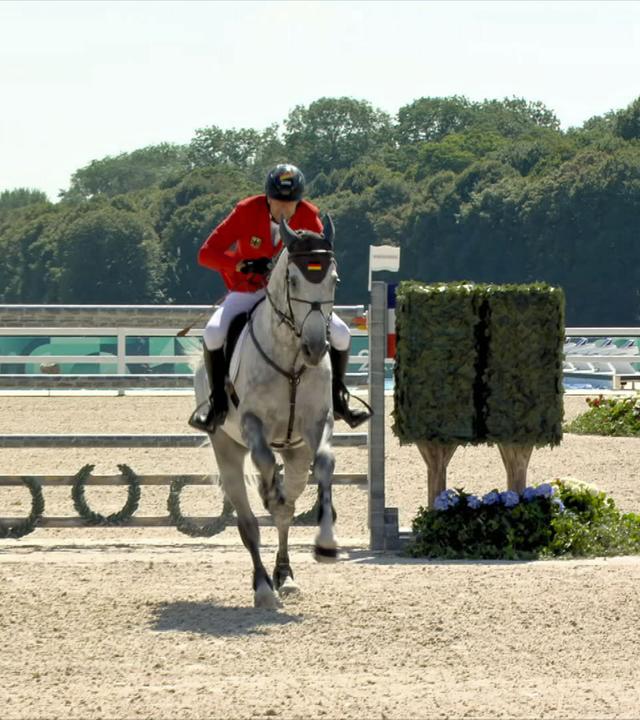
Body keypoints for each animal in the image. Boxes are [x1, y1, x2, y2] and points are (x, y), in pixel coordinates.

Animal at [194, 215, 340, 608]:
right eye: (293, 280)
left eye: (334, 280)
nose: (316, 348)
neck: (290, 357)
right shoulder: (251, 424)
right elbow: (262, 460)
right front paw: (268, 489)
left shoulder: (317, 423)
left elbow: (325, 464)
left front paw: (326, 544)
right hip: (226, 448)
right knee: (249, 523)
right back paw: (262, 586)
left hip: (295, 452)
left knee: (287, 509)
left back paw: (284, 576)